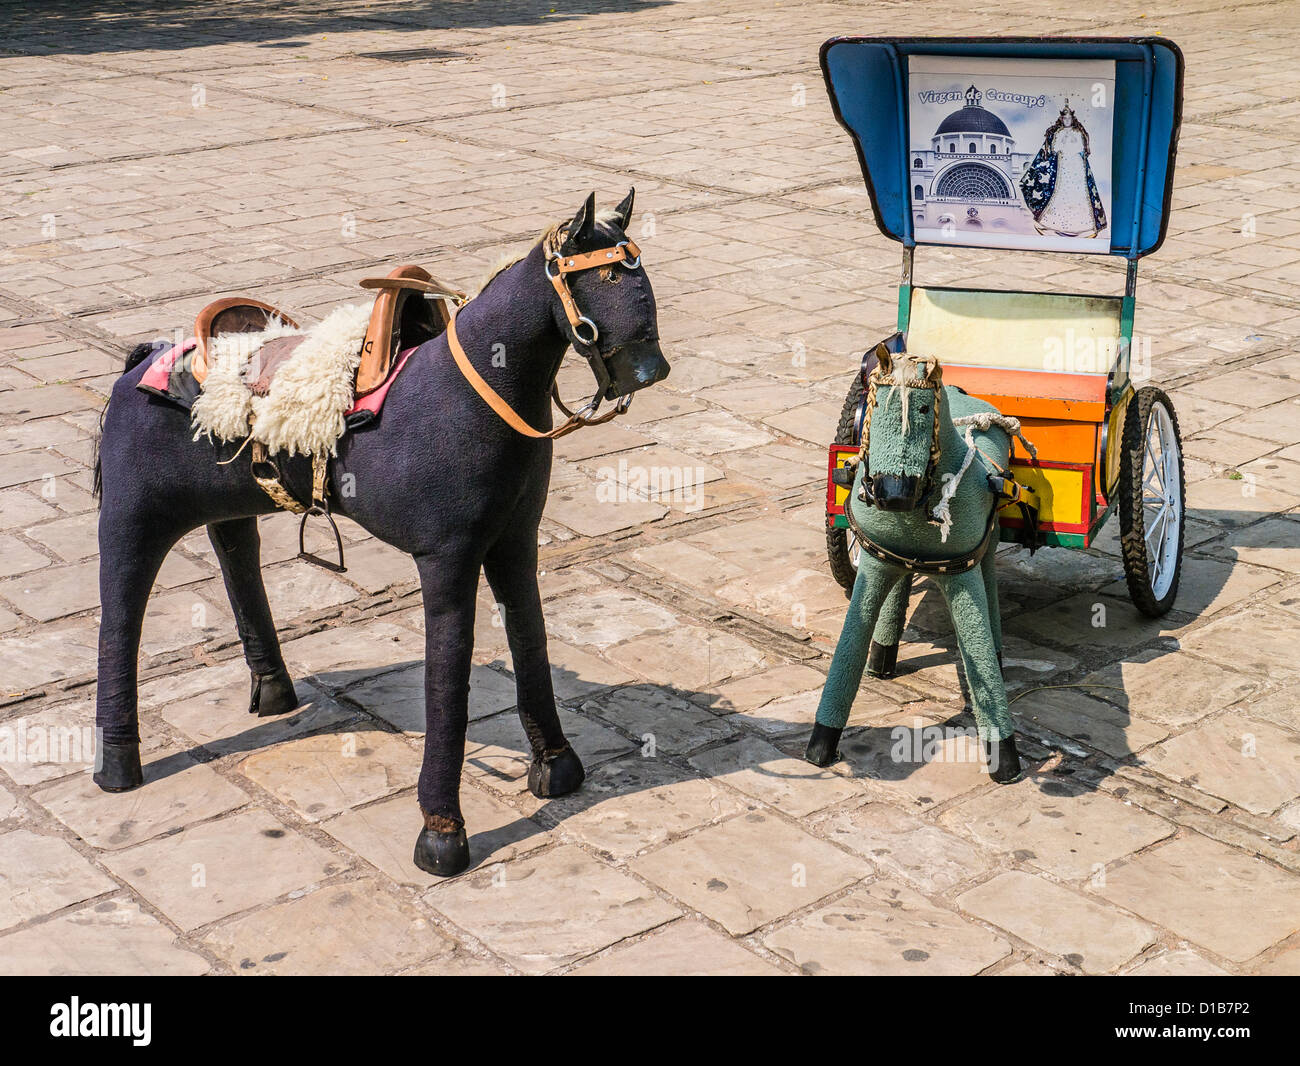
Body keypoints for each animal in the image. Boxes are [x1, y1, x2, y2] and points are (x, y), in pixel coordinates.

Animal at [92, 190, 669, 877]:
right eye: (605, 278)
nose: (650, 369)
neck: (476, 391)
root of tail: (142, 360)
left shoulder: (514, 543)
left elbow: (531, 640)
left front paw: (556, 769)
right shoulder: (447, 558)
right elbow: (448, 680)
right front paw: (442, 835)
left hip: (230, 501)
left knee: (236, 555)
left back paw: (273, 691)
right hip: (132, 518)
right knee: (121, 614)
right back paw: (116, 765)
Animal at [804, 347, 1025, 784]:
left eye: (923, 408)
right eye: (874, 406)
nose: (892, 493)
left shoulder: (962, 571)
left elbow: (978, 654)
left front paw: (1004, 758)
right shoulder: (878, 559)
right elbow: (849, 649)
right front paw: (820, 745)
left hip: (989, 539)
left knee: (989, 584)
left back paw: (997, 652)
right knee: (901, 584)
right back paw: (883, 656)